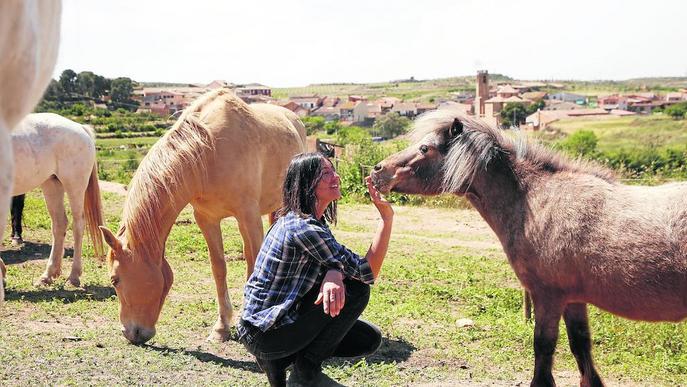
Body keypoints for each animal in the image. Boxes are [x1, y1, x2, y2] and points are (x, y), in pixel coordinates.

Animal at [10, 113, 105, 288]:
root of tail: (81, 128)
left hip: (74, 185)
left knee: (78, 224)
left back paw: (73, 276)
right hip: (52, 184)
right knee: (60, 224)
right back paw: (48, 275)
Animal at [99, 90, 306, 346]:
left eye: (114, 280)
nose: (130, 333)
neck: (208, 152)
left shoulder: (248, 216)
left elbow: (255, 265)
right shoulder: (207, 220)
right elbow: (219, 268)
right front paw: (222, 327)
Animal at [370, 109, 687, 387]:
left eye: (425, 148)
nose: (377, 171)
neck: (535, 202)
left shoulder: (547, 296)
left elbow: (544, 350)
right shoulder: (573, 300)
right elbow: (581, 348)